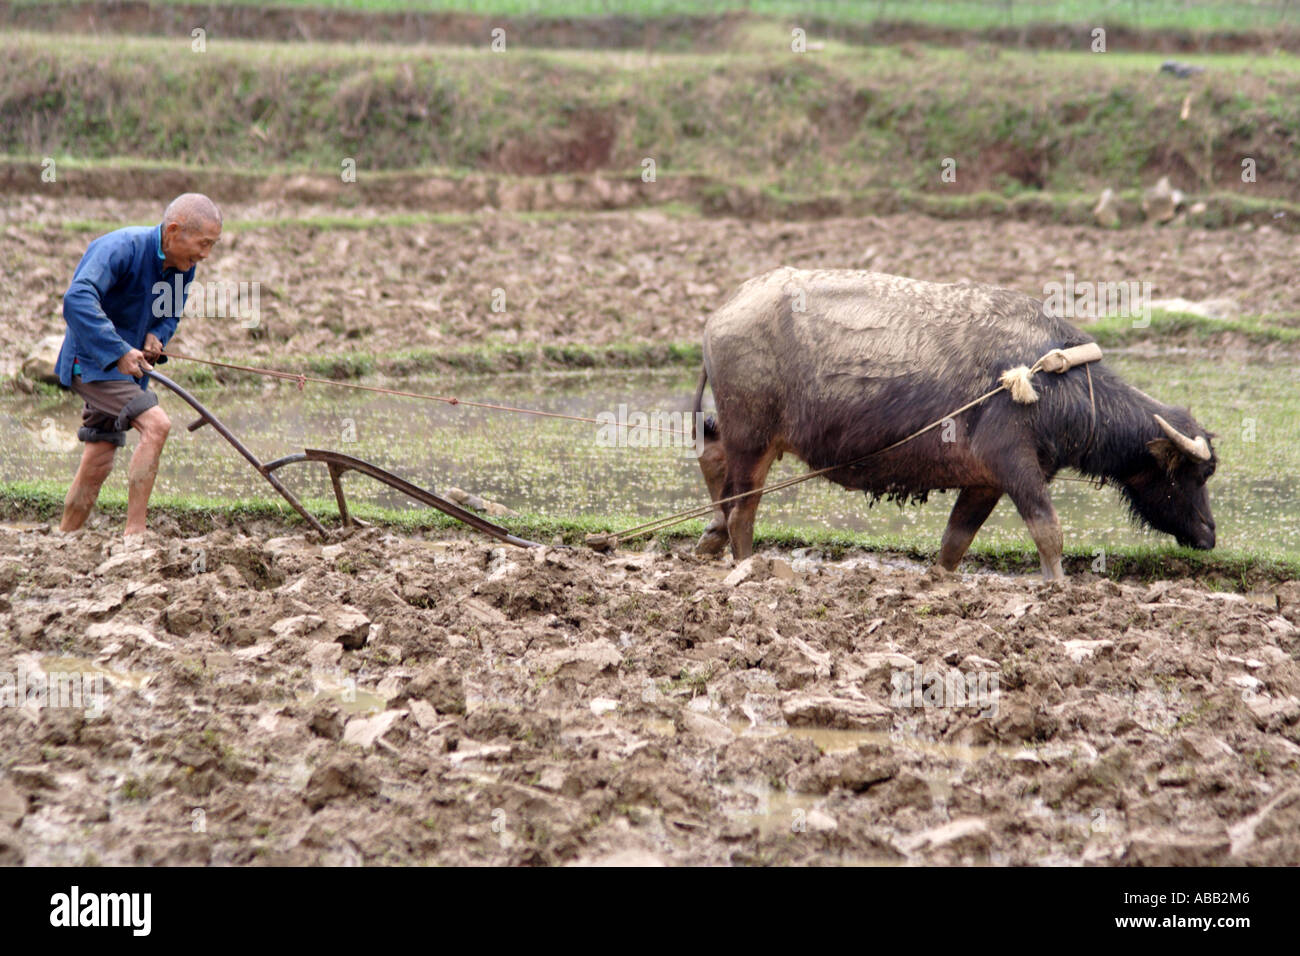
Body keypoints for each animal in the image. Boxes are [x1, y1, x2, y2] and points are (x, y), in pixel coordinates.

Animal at [691, 269, 1216, 582]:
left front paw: (940, 582)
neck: (1053, 380)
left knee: (712, 459)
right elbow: (1049, 531)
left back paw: (711, 539)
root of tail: (721, 314)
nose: (1210, 533)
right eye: (1193, 474)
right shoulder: (1015, 465)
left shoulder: (985, 482)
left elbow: (955, 542)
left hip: (742, 438)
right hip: (753, 439)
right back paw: (748, 566)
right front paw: (1057, 585)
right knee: (742, 510)